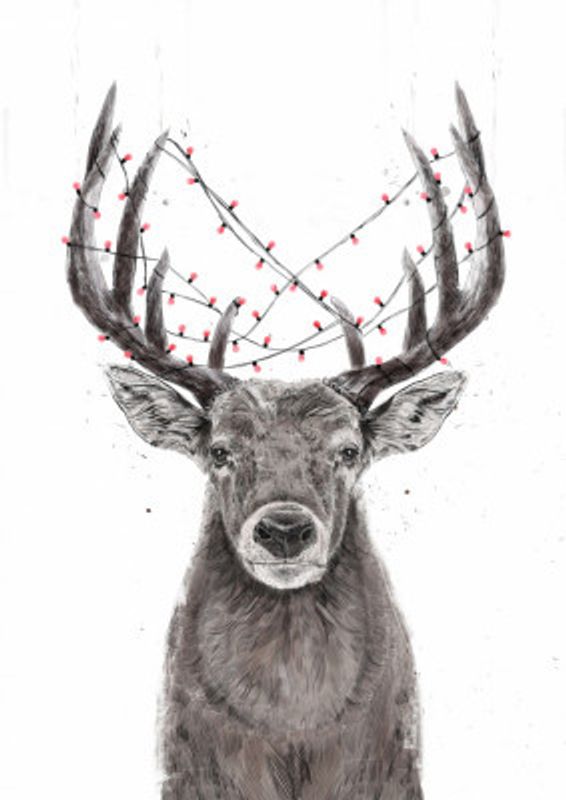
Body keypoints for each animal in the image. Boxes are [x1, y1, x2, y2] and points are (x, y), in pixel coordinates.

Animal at [66, 83, 504, 799]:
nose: (284, 530)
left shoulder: (395, 769)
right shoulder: (186, 771)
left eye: (349, 451)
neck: (293, 737)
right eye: (220, 451)